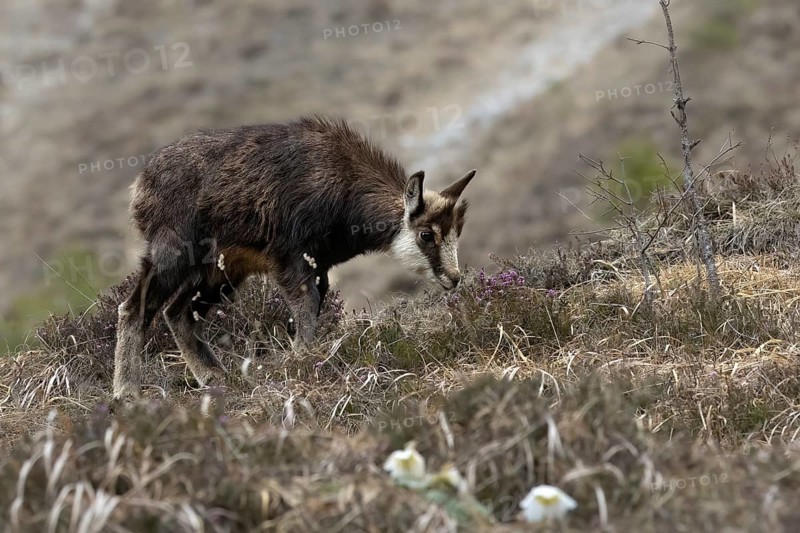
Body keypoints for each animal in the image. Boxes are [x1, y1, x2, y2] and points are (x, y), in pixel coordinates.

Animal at [113, 116, 476, 399]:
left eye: (457, 231)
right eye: (426, 234)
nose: (454, 278)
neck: (344, 184)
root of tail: (142, 184)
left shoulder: (319, 269)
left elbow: (313, 307)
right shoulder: (291, 261)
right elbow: (306, 309)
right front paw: (302, 362)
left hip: (220, 272)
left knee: (178, 313)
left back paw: (215, 378)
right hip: (172, 255)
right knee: (135, 308)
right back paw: (125, 392)